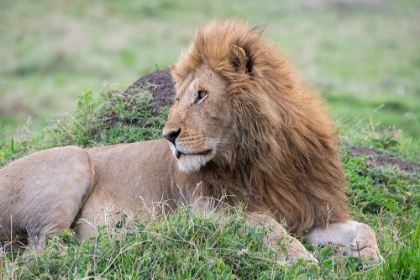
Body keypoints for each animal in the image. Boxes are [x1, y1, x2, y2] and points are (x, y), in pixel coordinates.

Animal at [0, 18, 380, 262]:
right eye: (178, 97)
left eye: (201, 95)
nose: (168, 135)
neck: (266, 160)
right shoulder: (211, 209)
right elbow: (269, 228)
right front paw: (302, 261)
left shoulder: (309, 210)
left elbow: (365, 229)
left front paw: (368, 256)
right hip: (74, 160)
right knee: (40, 251)